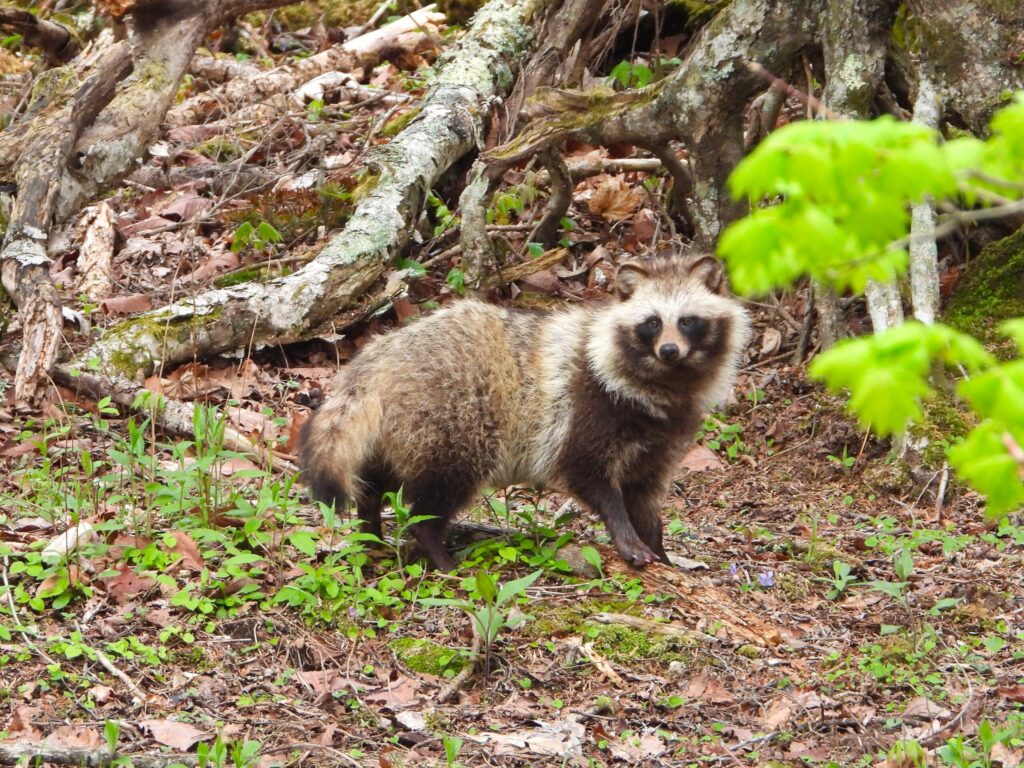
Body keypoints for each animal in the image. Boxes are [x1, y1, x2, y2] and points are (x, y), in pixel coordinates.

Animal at [300, 255, 750, 571]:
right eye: (652, 323)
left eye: (687, 321)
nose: (670, 350)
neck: (664, 382)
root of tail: (378, 358)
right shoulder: (589, 407)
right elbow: (591, 477)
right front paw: (625, 535)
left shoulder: (660, 439)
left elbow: (643, 496)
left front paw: (659, 547)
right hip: (450, 417)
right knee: (442, 485)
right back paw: (433, 545)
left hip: (401, 428)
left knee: (376, 477)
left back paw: (370, 525)